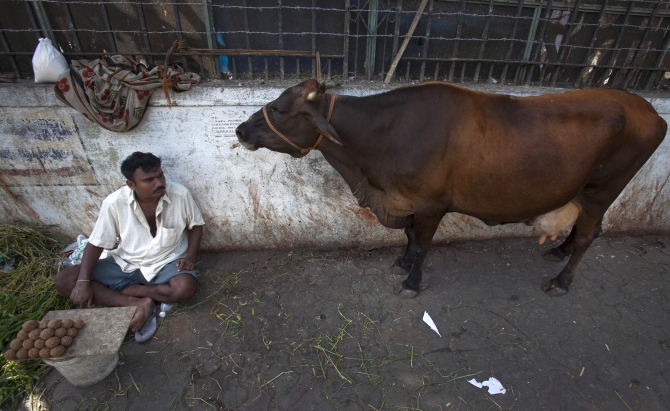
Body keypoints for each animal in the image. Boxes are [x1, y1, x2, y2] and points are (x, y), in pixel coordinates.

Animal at [235, 80, 668, 298]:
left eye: (278, 109)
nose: (239, 130)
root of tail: (647, 108)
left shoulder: (431, 203)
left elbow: (424, 242)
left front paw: (412, 281)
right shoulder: (409, 201)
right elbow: (409, 236)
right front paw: (403, 262)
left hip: (602, 189)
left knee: (590, 235)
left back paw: (561, 281)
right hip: (588, 192)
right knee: (583, 229)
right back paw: (558, 251)